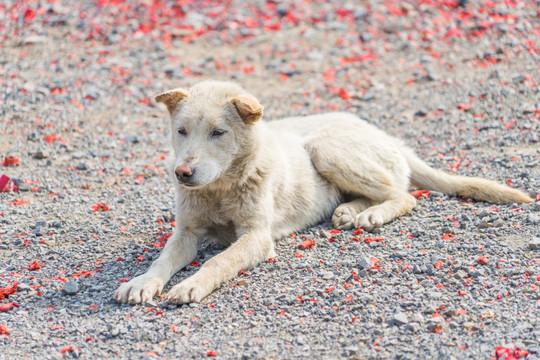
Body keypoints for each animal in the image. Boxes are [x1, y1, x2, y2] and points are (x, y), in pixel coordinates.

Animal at [114, 81, 532, 304]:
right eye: (181, 131)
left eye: (218, 132)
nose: (182, 173)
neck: (221, 188)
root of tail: (388, 136)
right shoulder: (185, 234)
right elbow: (161, 262)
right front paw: (141, 283)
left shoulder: (256, 237)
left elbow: (218, 261)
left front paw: (191, 284)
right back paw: (349, 211)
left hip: (326, 147)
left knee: (404, 194)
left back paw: (371, 213)